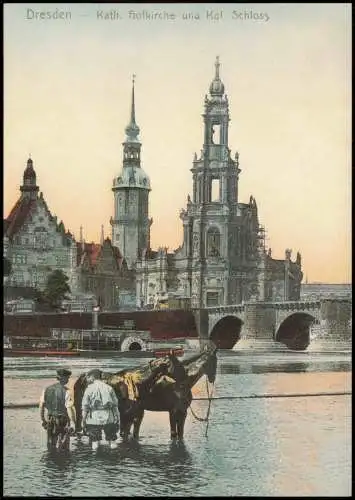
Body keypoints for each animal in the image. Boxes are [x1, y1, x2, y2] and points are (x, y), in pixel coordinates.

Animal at [73, 344, 218, 442]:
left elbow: (179, 435)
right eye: (214, 360)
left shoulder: (181, 413)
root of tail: (84, 376)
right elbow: (173, 434)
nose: (213, 378)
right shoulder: (173, 412)